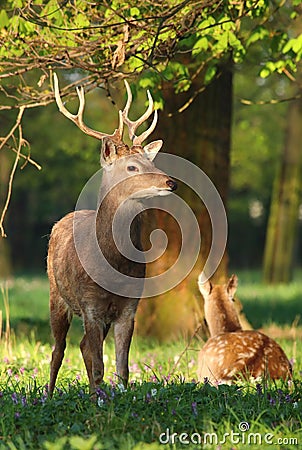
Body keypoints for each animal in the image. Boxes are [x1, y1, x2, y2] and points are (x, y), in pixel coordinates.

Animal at [47, 74, 177, 398]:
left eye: (152, 162)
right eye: (131, 166)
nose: (170, 182)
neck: (114, 267)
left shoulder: (129, 306)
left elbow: (121, 368)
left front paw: (117, 399)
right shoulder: (90, 304)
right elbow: (98, 367)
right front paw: (98, 403)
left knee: (81, 346)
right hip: (56, 294)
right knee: (58, 349)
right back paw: (47, 395)